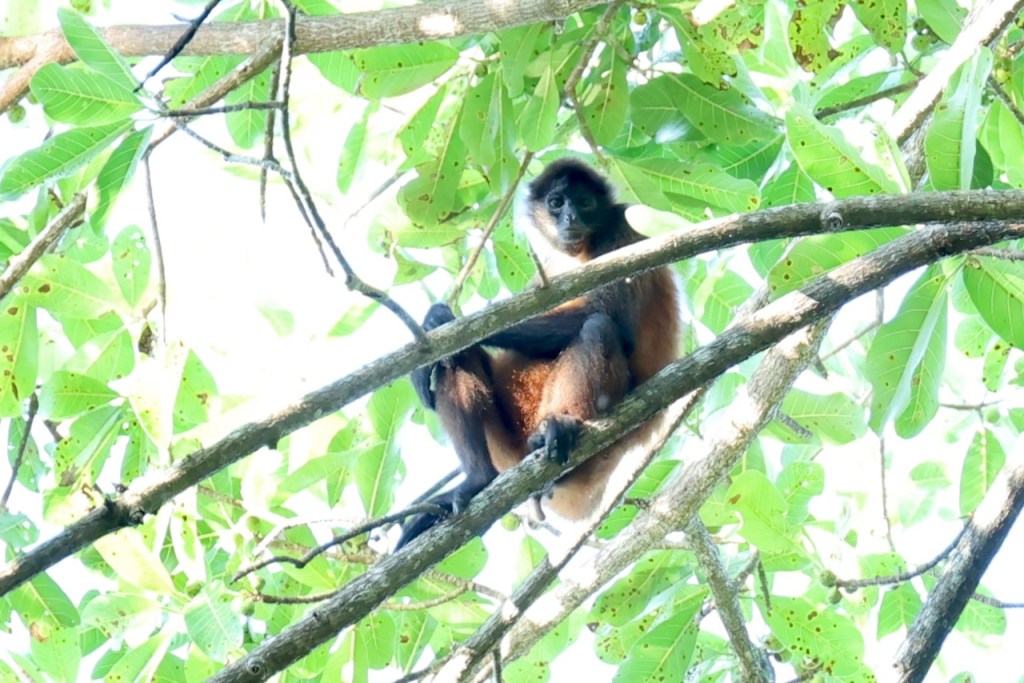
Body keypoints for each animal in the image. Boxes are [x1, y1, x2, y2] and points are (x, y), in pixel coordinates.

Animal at [398, 158, 680, 547]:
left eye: (584, 202)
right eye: (557, 203)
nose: (570, 218)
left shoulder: (623, 227)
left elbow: (613, 321)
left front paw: (441, 321)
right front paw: (437, 324)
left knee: (598, 327)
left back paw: (558, 429)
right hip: (506, 444)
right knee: (458, 361)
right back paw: (478, 480)